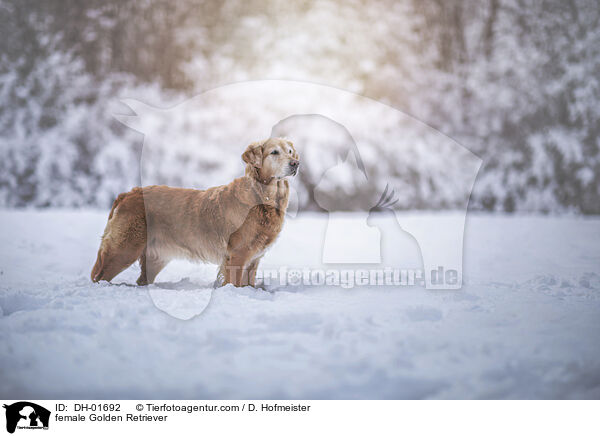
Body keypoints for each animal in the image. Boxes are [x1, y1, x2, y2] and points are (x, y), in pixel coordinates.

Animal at [90, 139, 298, 286]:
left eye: (290, 152)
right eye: (274, 152)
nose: (296, 163)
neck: (261, 197)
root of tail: (127, 193)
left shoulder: (254, 259)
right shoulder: (237, 255)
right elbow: (236, 284)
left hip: (155, 257)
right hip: (125, 248)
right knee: (98, 275)